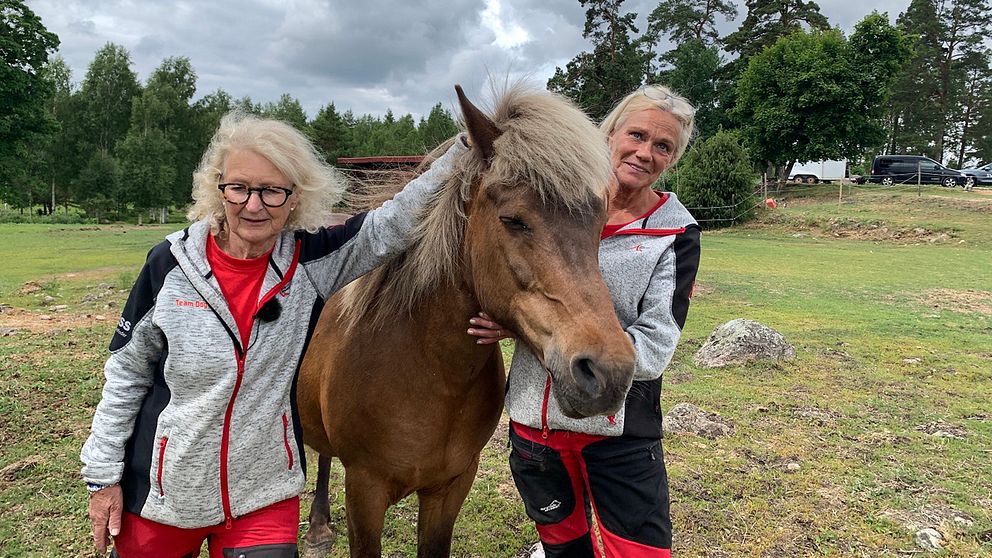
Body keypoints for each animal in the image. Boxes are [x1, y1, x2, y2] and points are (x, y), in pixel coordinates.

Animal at [296, 84, 636, 558]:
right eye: (513, 220)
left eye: (600, 223)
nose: (609, 372)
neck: (431, 373)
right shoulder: (365, 491)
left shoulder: (451, 488)